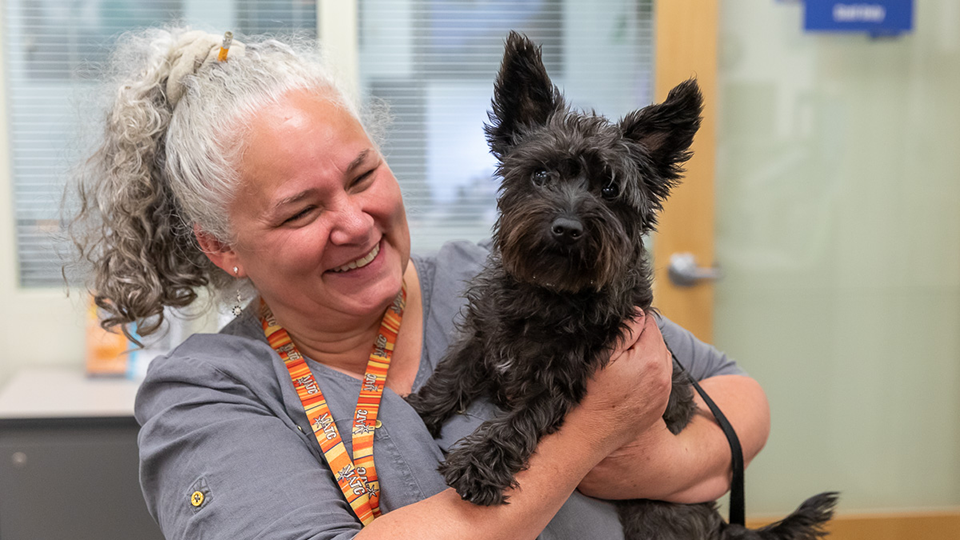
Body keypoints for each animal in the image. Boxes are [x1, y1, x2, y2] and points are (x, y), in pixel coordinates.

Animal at [408, 31, 836, 536]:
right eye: (541, 174)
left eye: (610, 189)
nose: (567, 228)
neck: (550, 294)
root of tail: (718, 524)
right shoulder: (482, 338)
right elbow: (447, 377)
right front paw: (414, 411)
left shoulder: (563, 381)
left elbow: (517, 423)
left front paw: (478, 464)